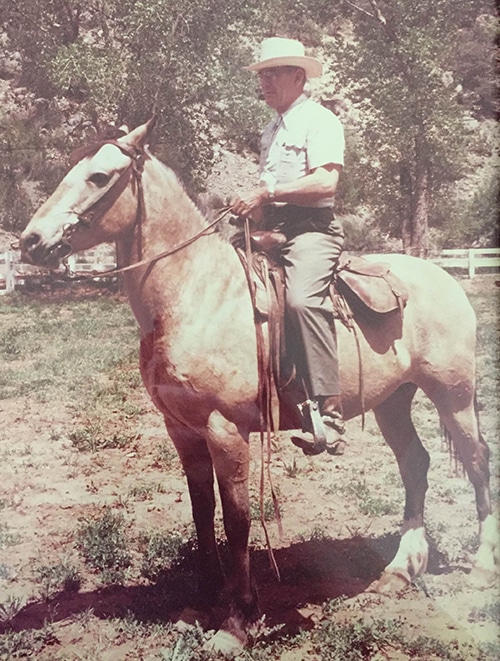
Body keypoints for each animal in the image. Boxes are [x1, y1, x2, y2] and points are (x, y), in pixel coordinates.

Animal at [20, 119, 498, 655]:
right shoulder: (182, 431)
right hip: (394, 402)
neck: (197, 296)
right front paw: (201, 605)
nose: (30, 241)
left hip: (453, 395)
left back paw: (482, 567)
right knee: (415, 463)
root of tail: (443, 276)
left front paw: (237, 622)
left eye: (100, 176)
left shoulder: (226, 430)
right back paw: (399, 570)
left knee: (478, 462)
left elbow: (239, 520)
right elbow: (202, 513)